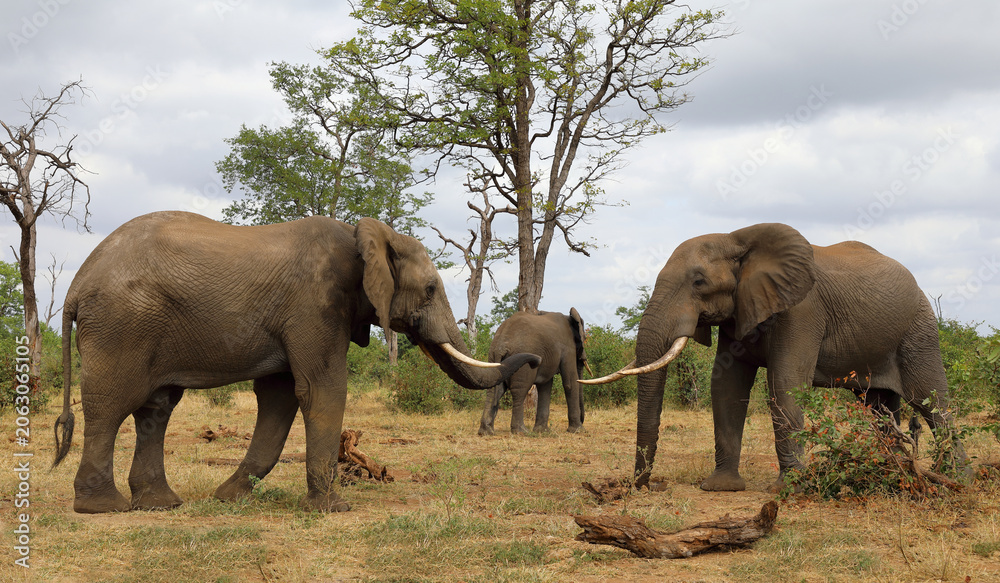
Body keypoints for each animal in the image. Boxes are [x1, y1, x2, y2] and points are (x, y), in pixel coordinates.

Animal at [52, 211, 539, 514]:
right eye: (432, 290)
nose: (534, 358)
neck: (364, 234)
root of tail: (76, 285)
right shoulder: (315, 304)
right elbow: (322, 390)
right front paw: (335, 509)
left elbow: (281, 397)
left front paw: (228, 498)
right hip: (122, 324)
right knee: (112, 405)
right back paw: (102, 508)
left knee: (156, 408)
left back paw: (161, 504)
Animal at [582, 223, 965, 491]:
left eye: (699, 282)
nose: (649, 486)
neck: (738, 239)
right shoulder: (740, 310)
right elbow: (726, 385)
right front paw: (721, 488)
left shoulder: (802, 310)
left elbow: (784, 383)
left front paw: (789, 490)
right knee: (880, 407)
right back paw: (895, 475)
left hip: (919, 331)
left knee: (932, 402)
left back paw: (959, 480)